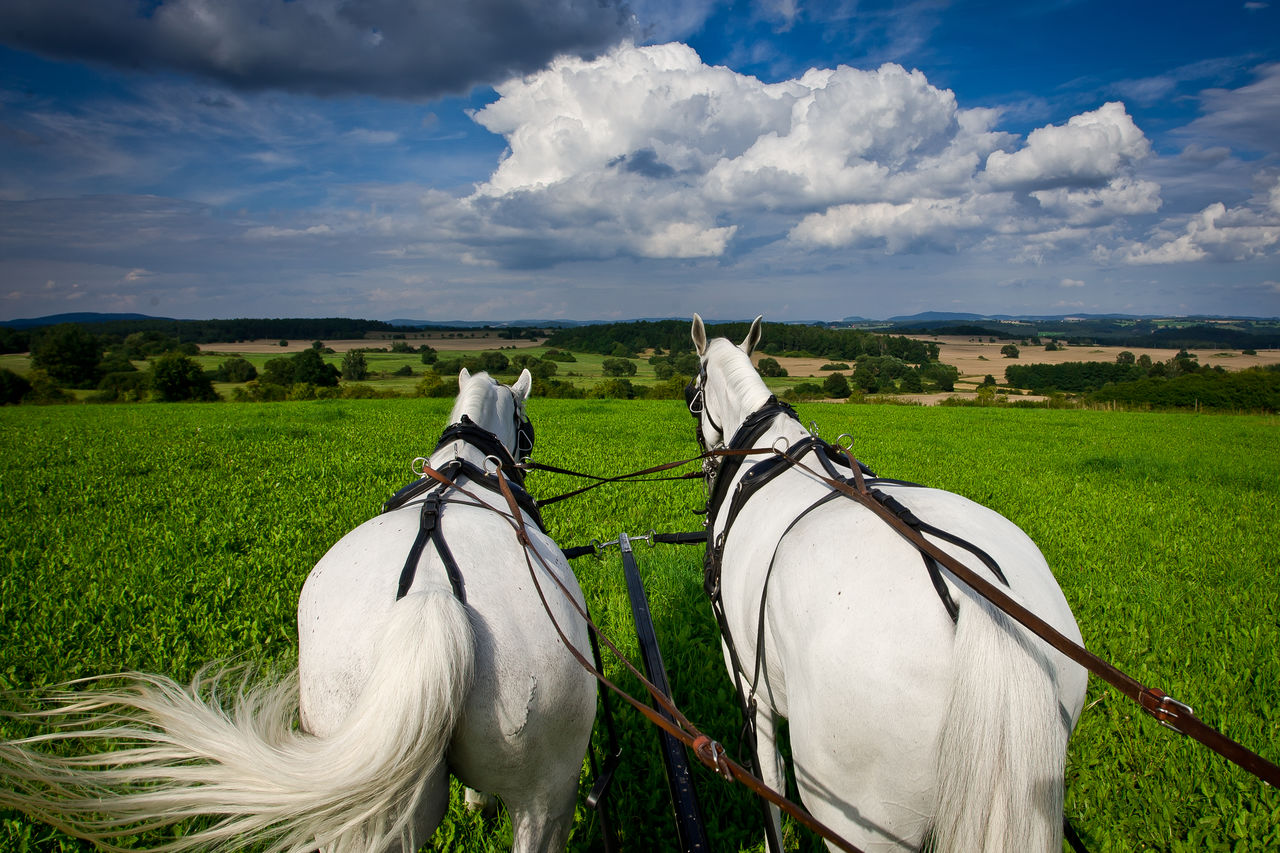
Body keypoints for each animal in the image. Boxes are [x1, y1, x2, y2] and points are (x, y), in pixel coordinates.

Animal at [0, 368, 596, 850]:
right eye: (527, 425)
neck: (467, 468)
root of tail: (433, 597)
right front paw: (478, 804)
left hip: (487, 796)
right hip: (532, 791)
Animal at [691, 315, 1090, 850]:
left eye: (693, 394)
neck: (765, 452)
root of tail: (977, 597)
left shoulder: (751, 687)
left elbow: (769, 787)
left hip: (860, 812)